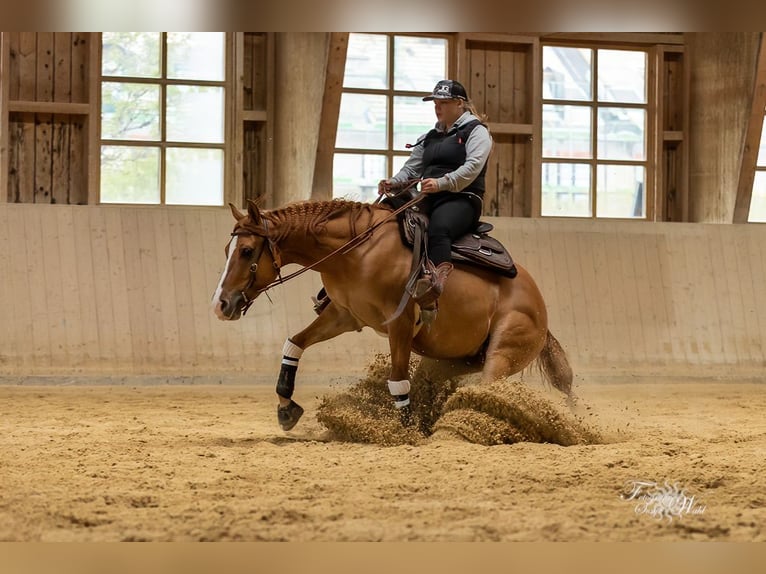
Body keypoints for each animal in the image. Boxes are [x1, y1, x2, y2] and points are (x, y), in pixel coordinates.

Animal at [213, 200, 572, 434]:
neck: (357, 252)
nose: (221, 304)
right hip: (450, 361)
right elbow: (295, 344)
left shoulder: (399, 324)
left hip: (502, 354)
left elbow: (398, 381)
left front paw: (404, 431)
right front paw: (286, 407)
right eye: (227, 251)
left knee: (486, 389)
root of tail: (539, 307)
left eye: (247, 251)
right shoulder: (344, 315)